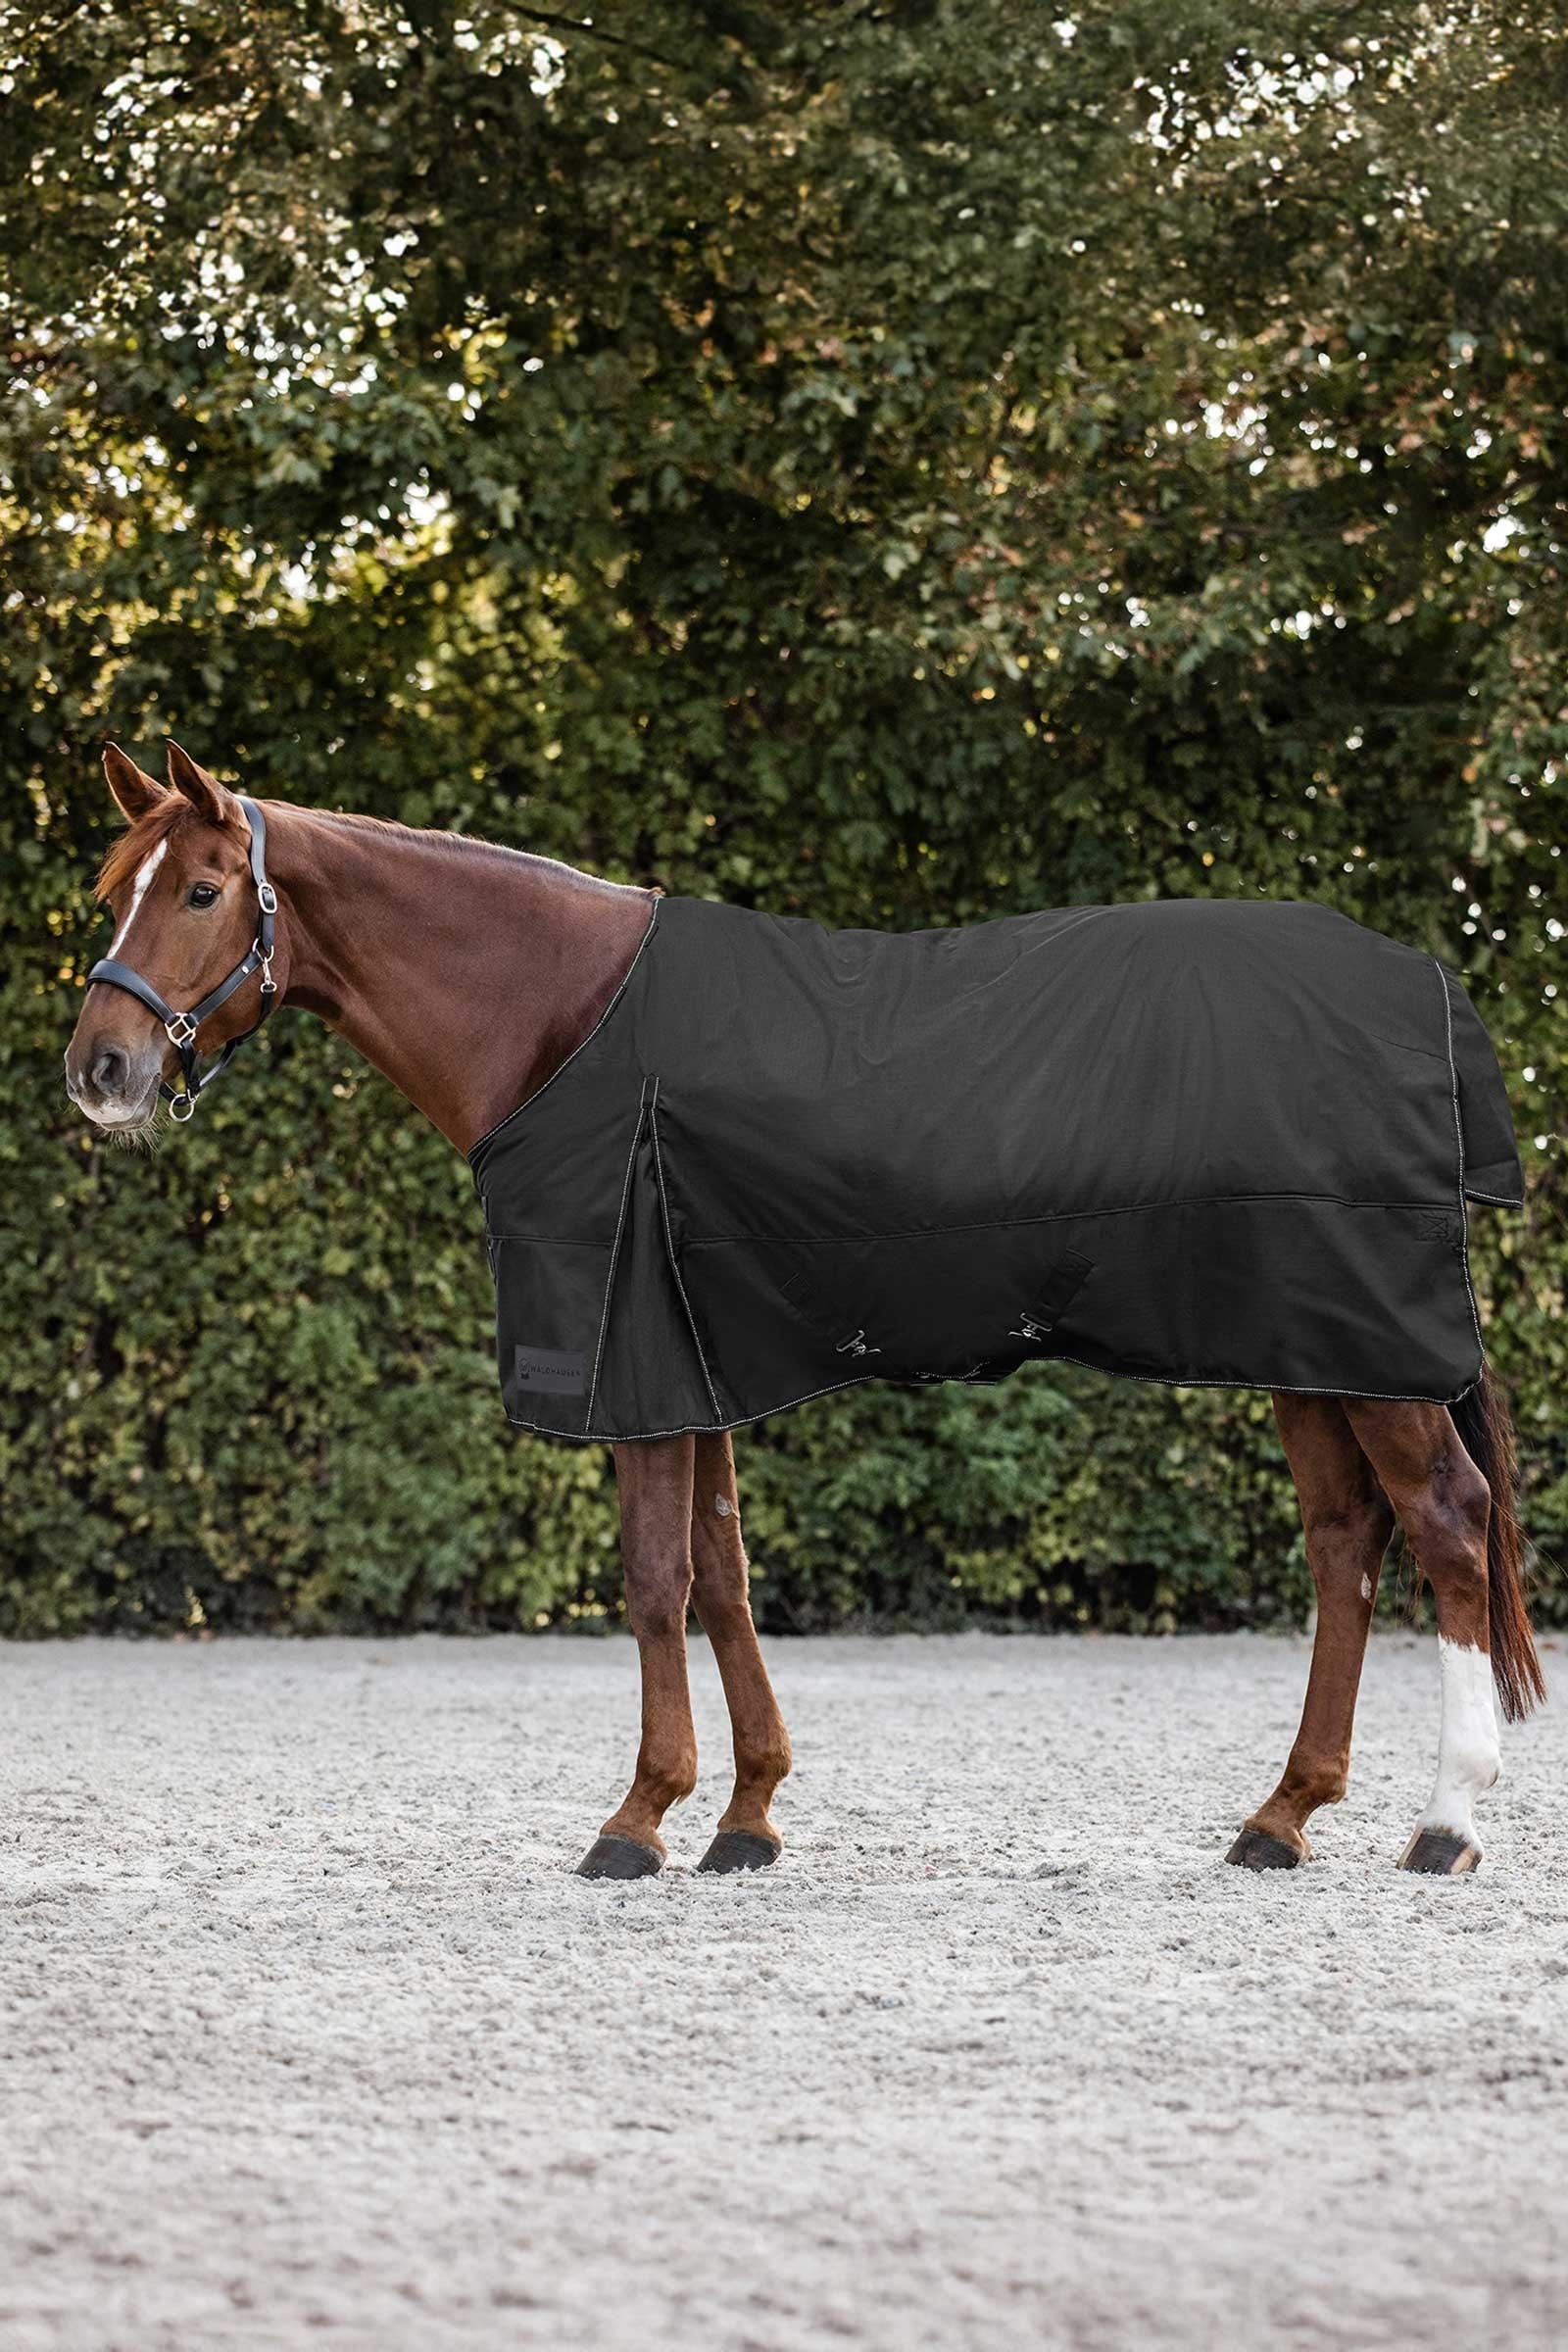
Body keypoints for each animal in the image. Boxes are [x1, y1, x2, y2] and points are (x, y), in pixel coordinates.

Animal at [63, 741, 1544, 1879]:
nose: (100, 1070)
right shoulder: (691, 1355)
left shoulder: (635, 1361)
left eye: (202, 890)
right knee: (1347, 1544)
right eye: (108, 890)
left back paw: (1445, 1824)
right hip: (1313, 1348)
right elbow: (722, 1577)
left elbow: (655, 1581)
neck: (561, 1017)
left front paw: (637, 1820)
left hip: (1371, 1351)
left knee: (1447, 1526)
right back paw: (1281, 1818)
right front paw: (749, 1814)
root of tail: (1424, 983)